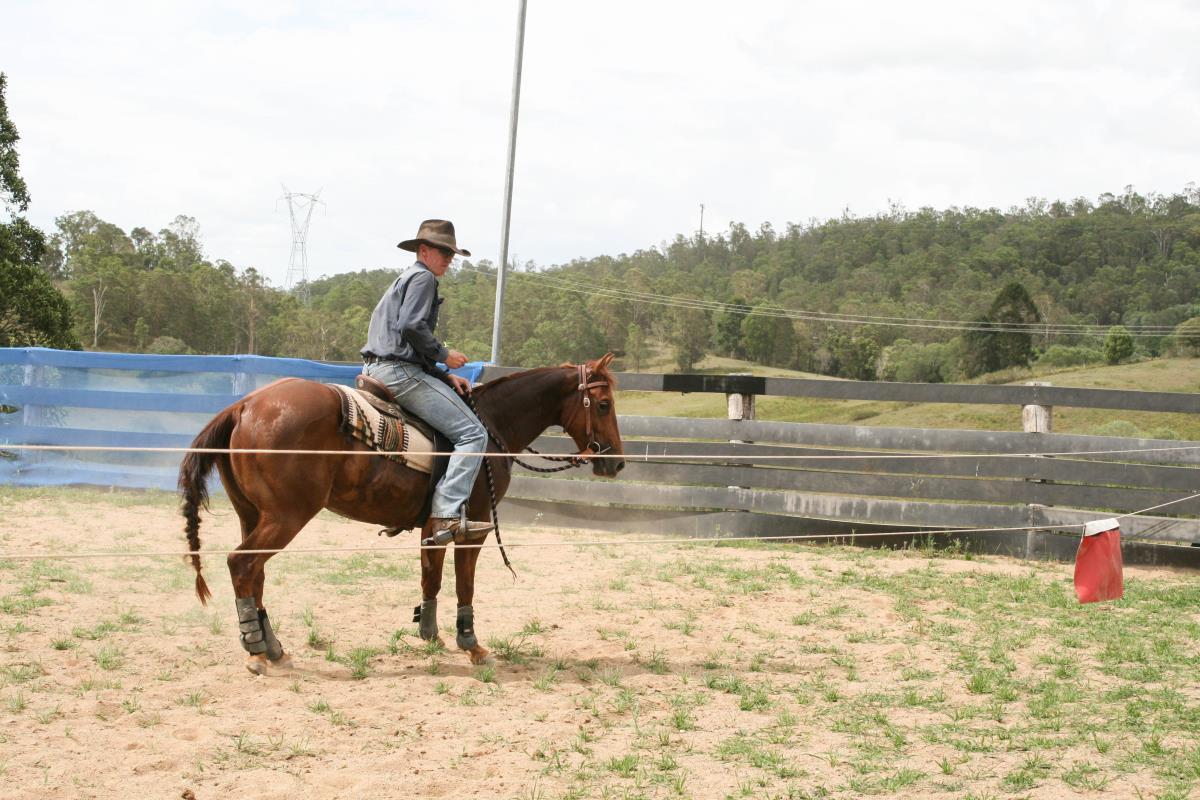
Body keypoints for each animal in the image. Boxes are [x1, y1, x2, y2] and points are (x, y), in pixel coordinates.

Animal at [178, 354, 624, 675]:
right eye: (603, 404)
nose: (616, 462)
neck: (492, 426)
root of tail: (244, 406)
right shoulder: (473, 527)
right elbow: (463, 584)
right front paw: (472, 645)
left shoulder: (434, 527)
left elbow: (431, 576)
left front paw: (428, 631)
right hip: (286, 516)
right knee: (242, 565)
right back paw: (257, 649)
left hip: (253, 515)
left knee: (255, 573)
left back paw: (271, 649)